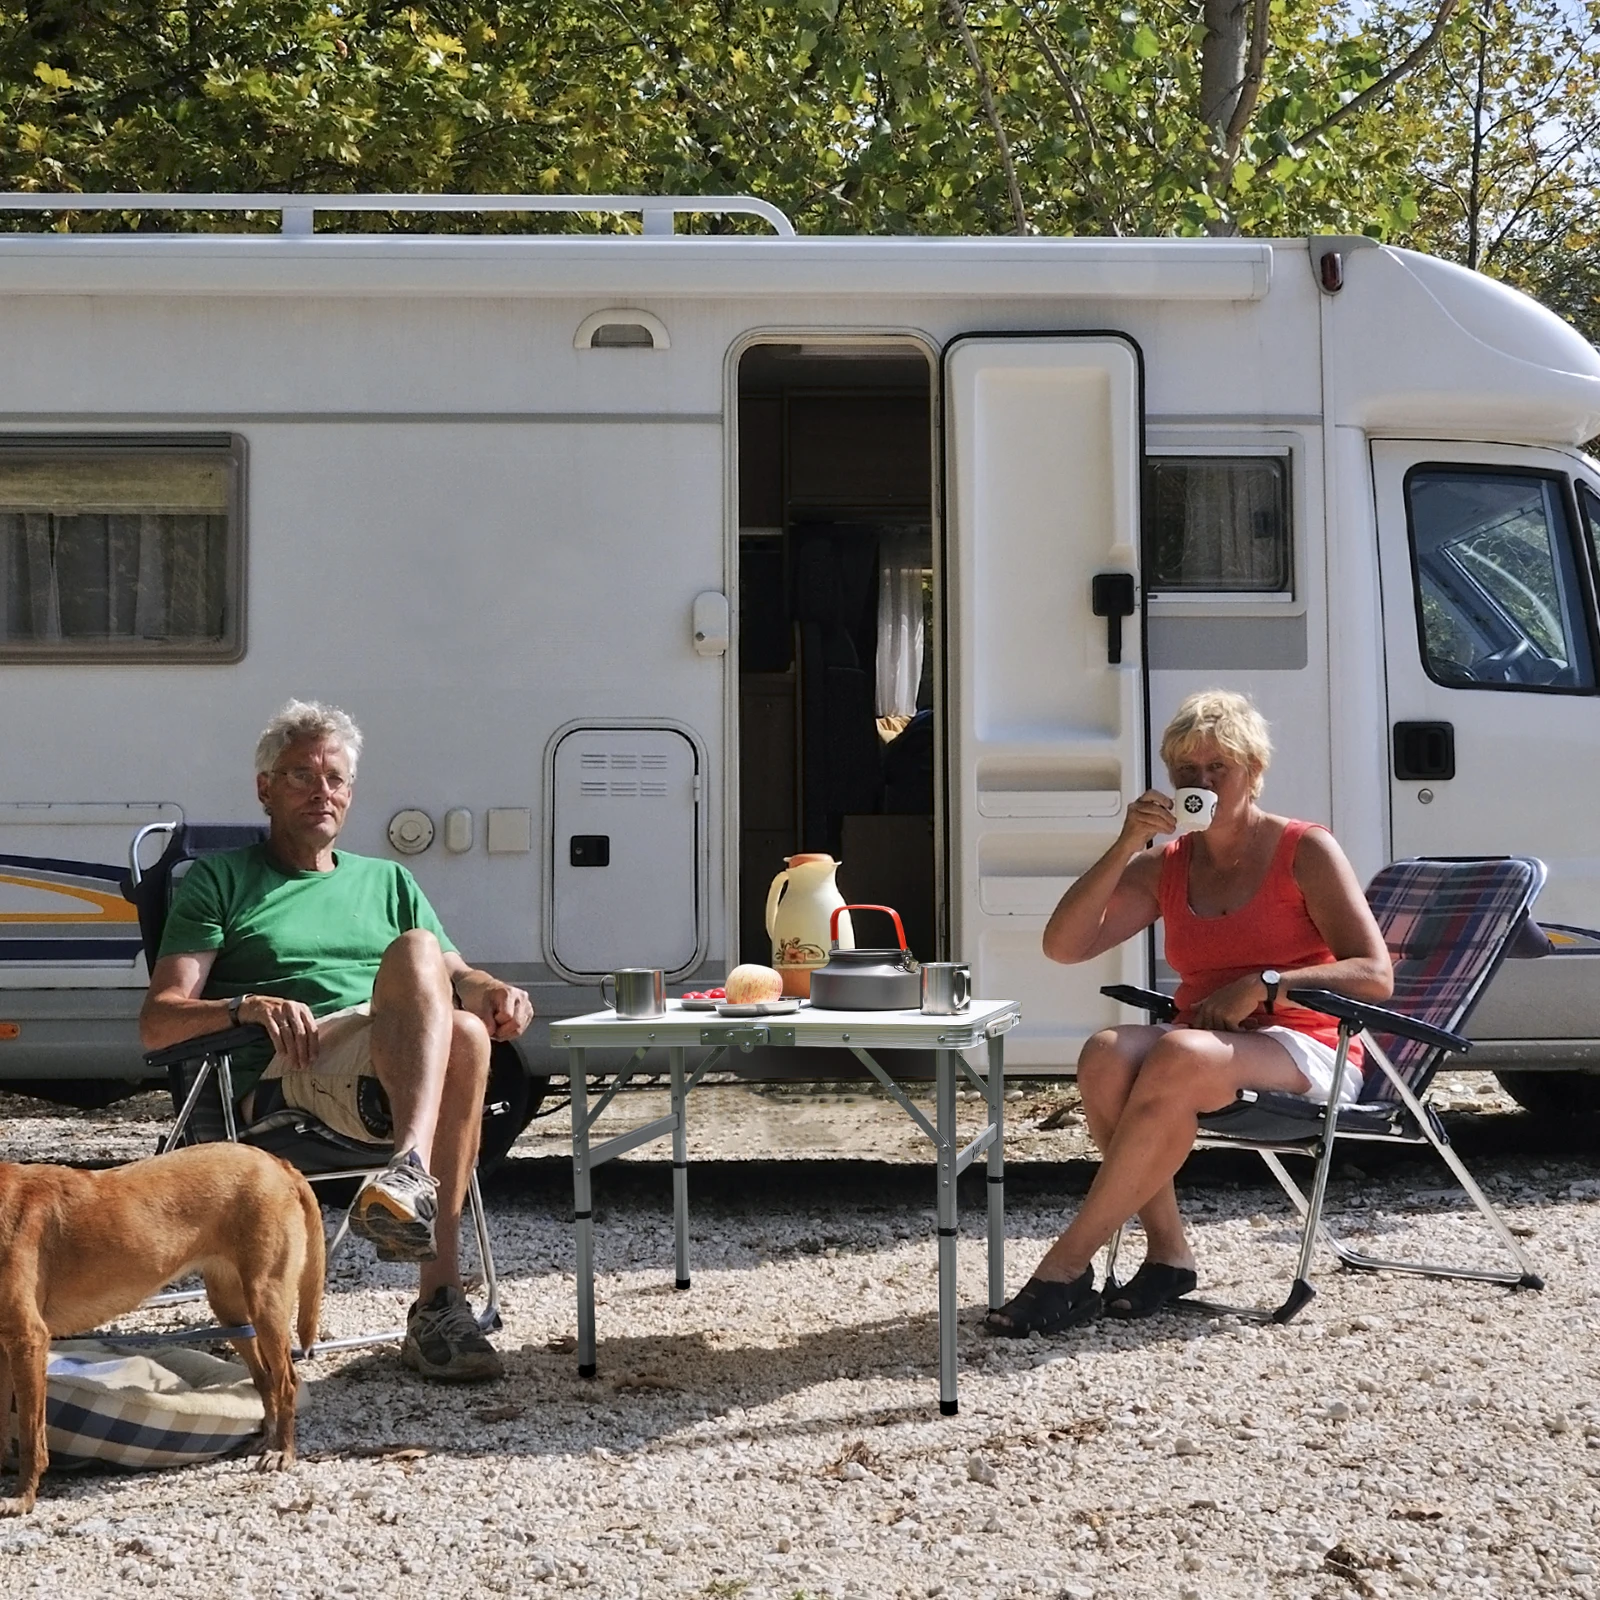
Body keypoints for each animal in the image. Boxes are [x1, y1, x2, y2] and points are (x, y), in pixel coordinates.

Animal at [0, 1145, 324, 1504]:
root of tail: (277, 1163)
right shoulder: (5, 1349)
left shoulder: (28, 1339)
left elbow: (29, 1433)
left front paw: (22, 1497)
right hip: (231, 1309)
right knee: (264, 1379)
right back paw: (266, 1438)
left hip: (266, 1301)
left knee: (287, 1382)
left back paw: (283, 1451)